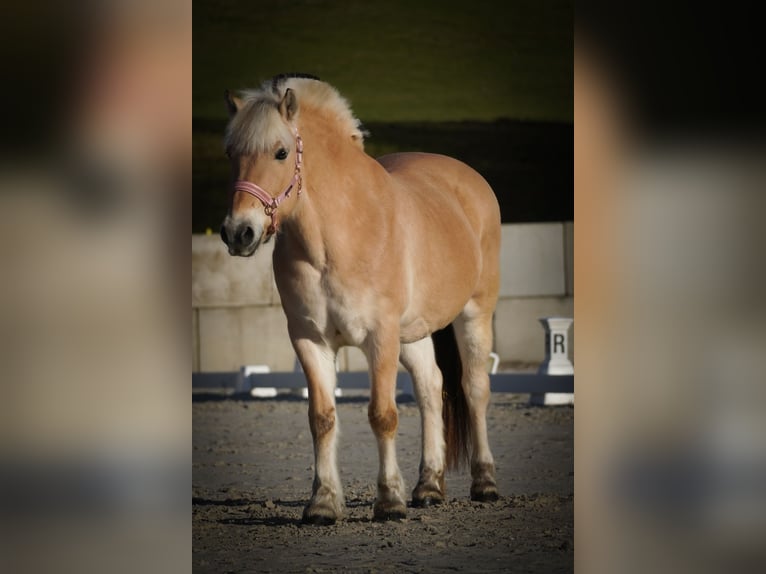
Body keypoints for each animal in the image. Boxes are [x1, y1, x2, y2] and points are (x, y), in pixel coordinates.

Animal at [220, 74, 501, 524]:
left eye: (281, 152)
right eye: (231, 153)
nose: (238, 232)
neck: (337, 236)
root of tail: (468, 178)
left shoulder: (379, 337)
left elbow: (382, 414)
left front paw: (388, 501)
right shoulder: (310, 340)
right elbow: (321, 417)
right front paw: (322, 503)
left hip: (475, 313)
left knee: (474, 388)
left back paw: (485, 483)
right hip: (414, 333)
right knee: (431, 388)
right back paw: (428, 486)